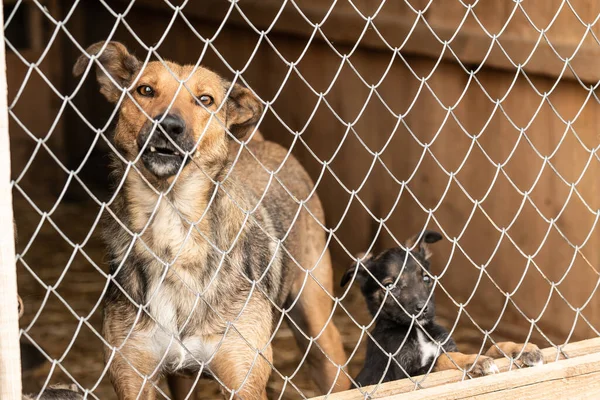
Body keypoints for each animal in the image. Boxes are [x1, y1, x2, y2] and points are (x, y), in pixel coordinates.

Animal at [72, 42, 350, 398]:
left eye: (205, 100)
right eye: (145, 90)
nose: (169, 125)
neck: (173, 229)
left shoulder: (243, 379)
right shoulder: (133, 376)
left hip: (318, 330)